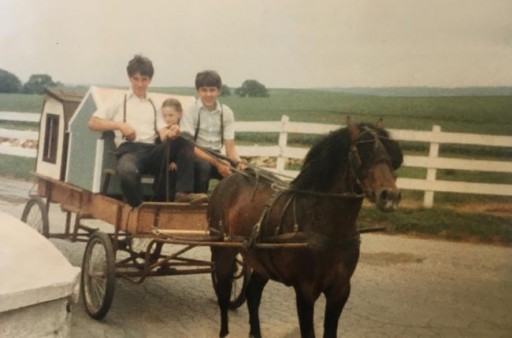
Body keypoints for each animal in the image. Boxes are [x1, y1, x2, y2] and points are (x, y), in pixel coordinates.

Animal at [208, 120, 404, 336]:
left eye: (391, 155)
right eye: (363, 152)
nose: (390, 196)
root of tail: (228, 180)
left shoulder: (341, 290)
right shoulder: (306, 291)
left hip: (263, 262)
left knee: (252, 294)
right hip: (223, 252)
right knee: (224, 292)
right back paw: (224, 330)